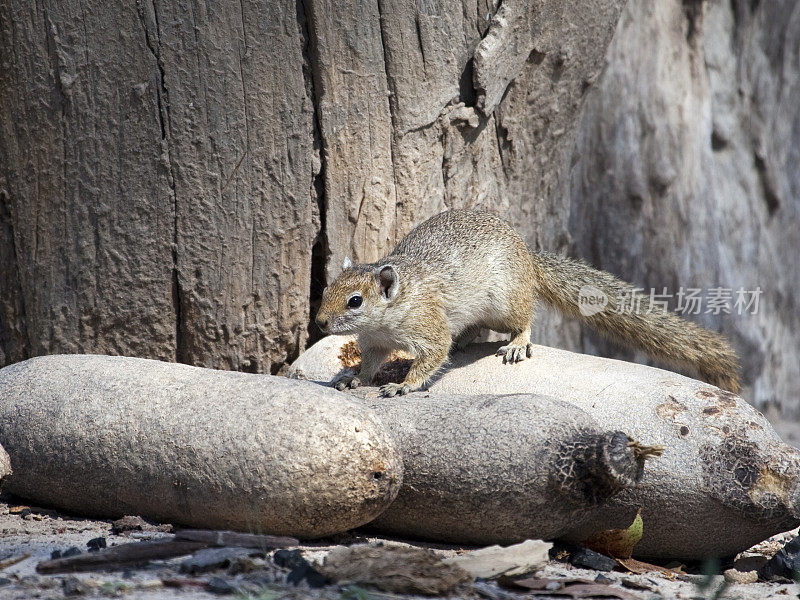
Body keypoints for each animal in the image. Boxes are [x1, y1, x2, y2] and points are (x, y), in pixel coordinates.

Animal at [316, 209, 740, 396]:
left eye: (355, 301)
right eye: (326, 290)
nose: (319, 322)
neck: (390, 313)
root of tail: (528, 259)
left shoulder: (428, 326)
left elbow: (432, 356)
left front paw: (404, 385)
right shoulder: (374, 343)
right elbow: (370, 363)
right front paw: (353, 378)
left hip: (506, 303)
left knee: (524, 320)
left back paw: (516, 343)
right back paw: (466, 339)